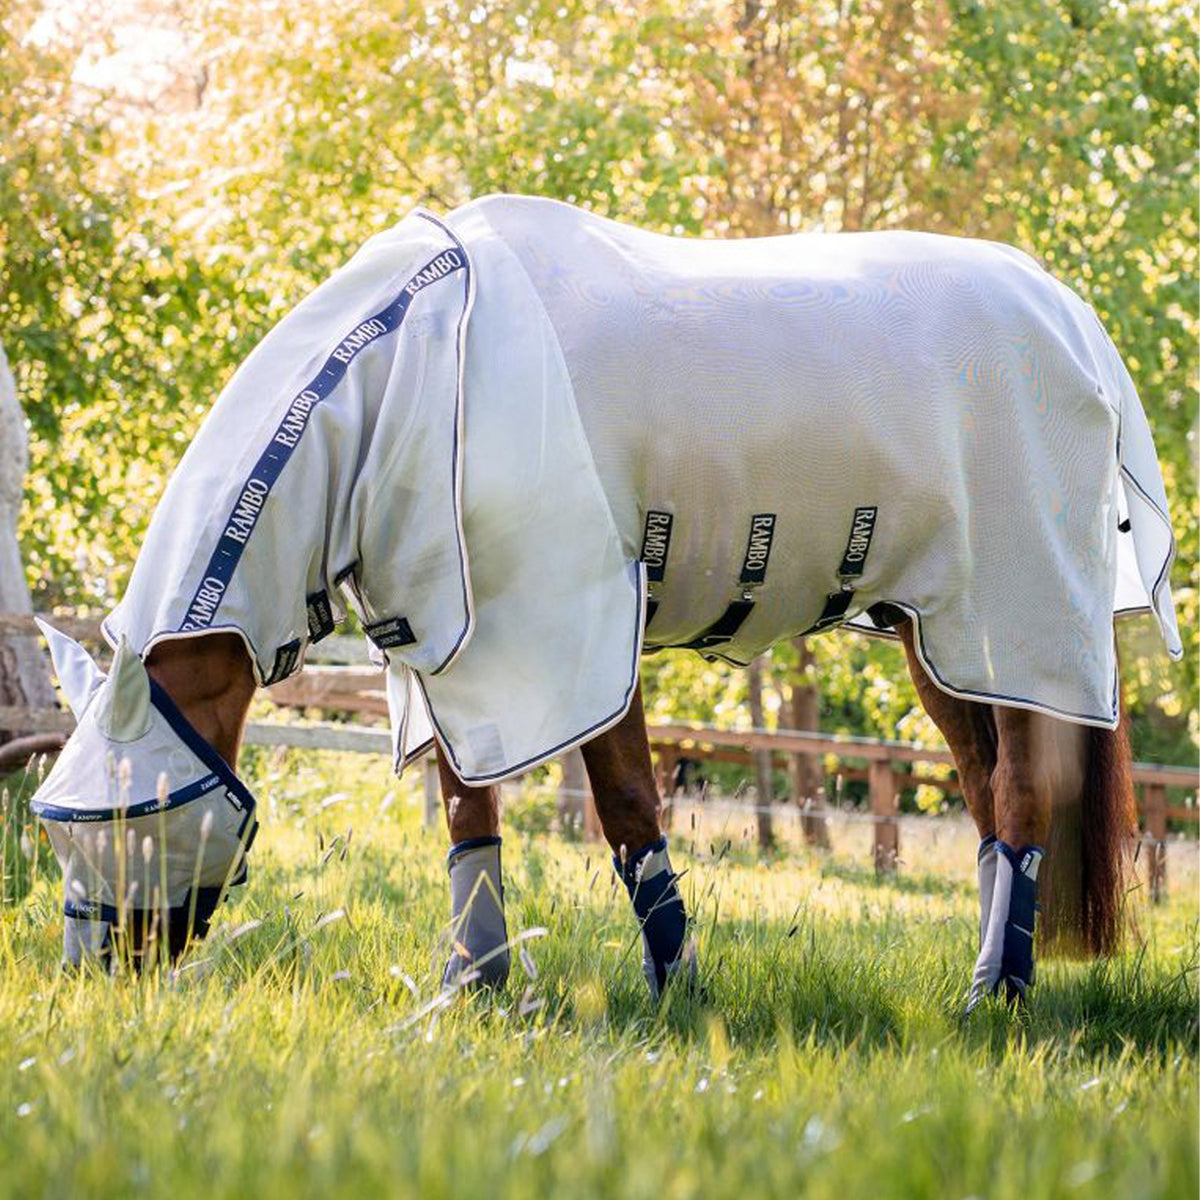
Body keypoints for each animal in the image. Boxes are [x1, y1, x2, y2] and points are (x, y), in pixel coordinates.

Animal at [32, 195, 1180, 1009]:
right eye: (53, 827)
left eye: (130, 815)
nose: (93, 975)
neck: (417, 367)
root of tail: (1071, 316)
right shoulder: (450, 646)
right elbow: (468, 812)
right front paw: (474, 989)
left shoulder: (570, 623)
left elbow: (626, 806)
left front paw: (677, 993)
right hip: (934, 633)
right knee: (986, 793)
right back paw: (994, 981)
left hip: (1016, 620)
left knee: (1020, 792)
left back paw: (995, 996)